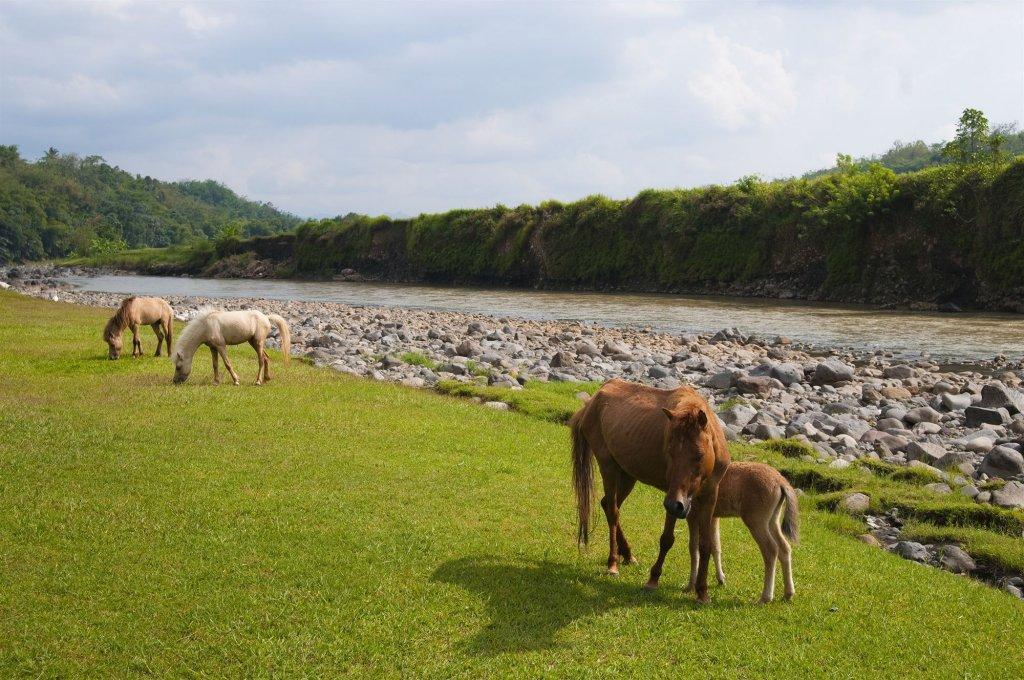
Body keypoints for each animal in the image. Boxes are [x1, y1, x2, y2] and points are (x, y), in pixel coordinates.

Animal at [573, 376, 733, 606]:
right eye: (670, 452)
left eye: (699, 455)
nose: (676, 504)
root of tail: (593, 400)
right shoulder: (672, 497)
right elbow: (667, 539)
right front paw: (653, 579)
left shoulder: (709, 496)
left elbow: (705, 545)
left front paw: (702, 592)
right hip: (608, 467)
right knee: (613, 512)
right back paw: (613, 563)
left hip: (627, 475)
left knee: (607, 505)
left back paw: (627, 554)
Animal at [688, 462, 798, 602]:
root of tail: (780, 481)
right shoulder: (713, 517)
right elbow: (715, 546)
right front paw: (721, 579)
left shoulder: (692, 515)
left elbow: (693, 548)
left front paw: (690, 586)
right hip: (773, 520)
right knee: (785, 548)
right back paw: (788, 593)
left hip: (756, 522)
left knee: (771, 550)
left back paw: (765, 597)